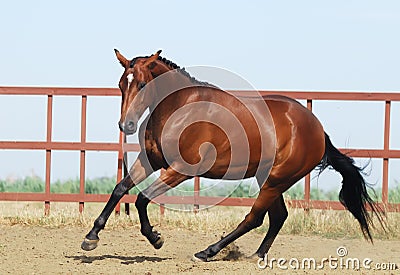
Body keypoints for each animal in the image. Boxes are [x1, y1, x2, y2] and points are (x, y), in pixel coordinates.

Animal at [81, 50, 384, 264]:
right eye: (121, 84)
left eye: (143, 84)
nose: (127, 126)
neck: (180, 109)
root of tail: (318, 130)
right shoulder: (151, 161)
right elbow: (120, 188)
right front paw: (91, 238)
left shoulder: (181, 169)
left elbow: (142, 198)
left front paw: (155, 238)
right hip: (268, 178)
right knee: (278, 216)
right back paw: (256, 256)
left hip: (277, 179)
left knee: (255, 217)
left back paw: (207, 252)